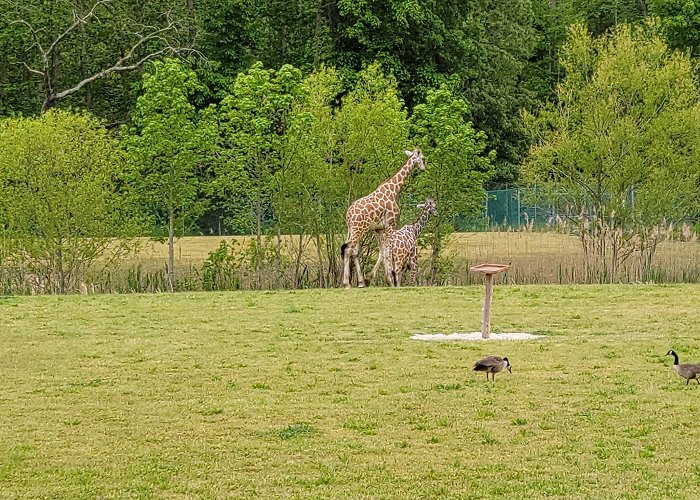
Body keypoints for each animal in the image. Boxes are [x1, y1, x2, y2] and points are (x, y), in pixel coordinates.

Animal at [340, 148, 424, 288]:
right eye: (422, 158)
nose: (424, 167)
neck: (394, 190)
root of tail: (348, 214)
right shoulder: (391, 224)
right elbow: (388, 250)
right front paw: (391, 280)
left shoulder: (378, 228)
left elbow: (383, 251)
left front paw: (382, 279)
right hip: (359, 229)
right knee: (348, 248)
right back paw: (347, 283)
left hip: (352, 229)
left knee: (352, 250)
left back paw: (359, 282)